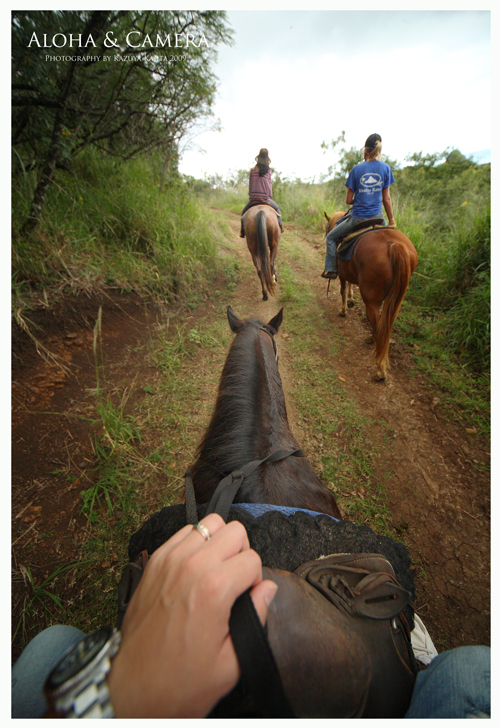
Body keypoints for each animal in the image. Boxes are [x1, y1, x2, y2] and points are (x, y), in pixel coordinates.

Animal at [324, 212, 418, 378]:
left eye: (327, 227)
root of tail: (395, 245)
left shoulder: (342, 274)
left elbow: (343, 290)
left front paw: (343, 310)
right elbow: (350, 285)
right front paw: (351, 300)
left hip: (371, 301)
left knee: (378, 323)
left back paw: (380, 368)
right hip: (396, 297)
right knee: (385, 325)